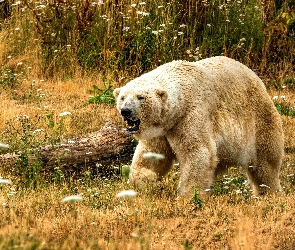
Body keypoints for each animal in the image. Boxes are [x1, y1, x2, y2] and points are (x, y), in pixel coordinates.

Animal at [113, 55, 284, 196]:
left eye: (140, 97)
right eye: (123, 97)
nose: (125, 111)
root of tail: (259, 81)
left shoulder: (191, 115)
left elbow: (198, 152)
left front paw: (187, 196)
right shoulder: (162, 129)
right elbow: (151, 154)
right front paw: (143, 181)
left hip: (259, 119)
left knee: (265, 161)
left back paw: (269, 192)